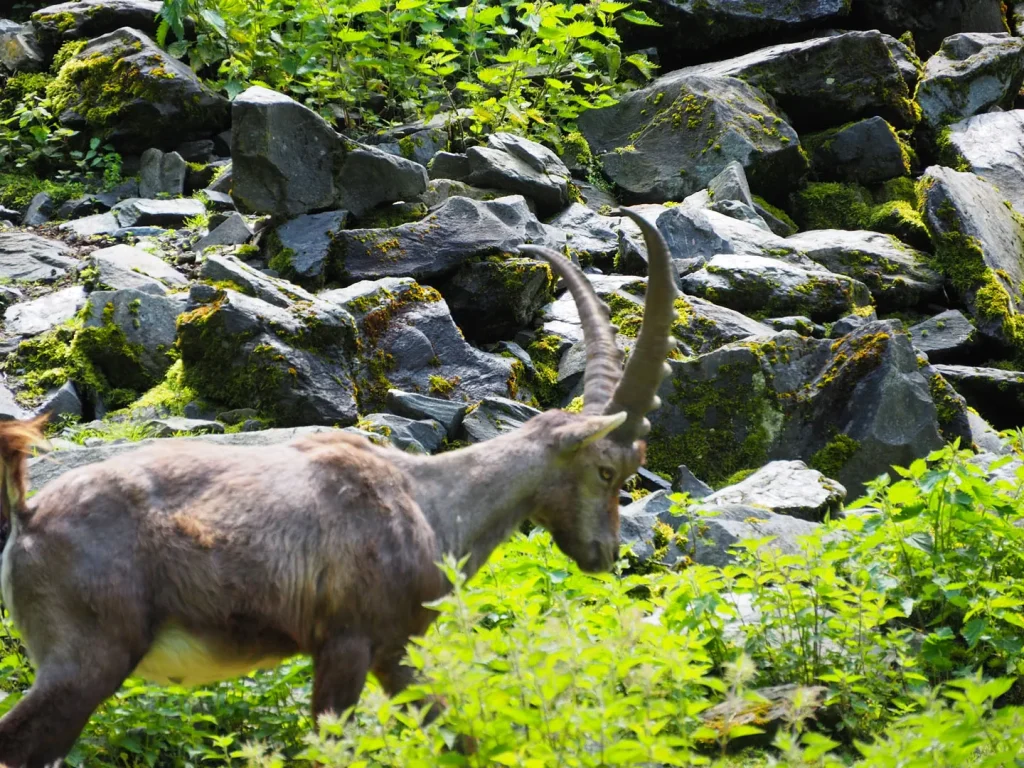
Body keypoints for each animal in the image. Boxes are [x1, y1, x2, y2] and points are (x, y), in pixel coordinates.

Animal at [0, 208, 679, 767]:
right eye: (608, 470)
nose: (606, 555)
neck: (431, 506)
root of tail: (28, 518)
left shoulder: (395, 653)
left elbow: (457, 737)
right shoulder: (347, 644)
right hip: (87, 658)